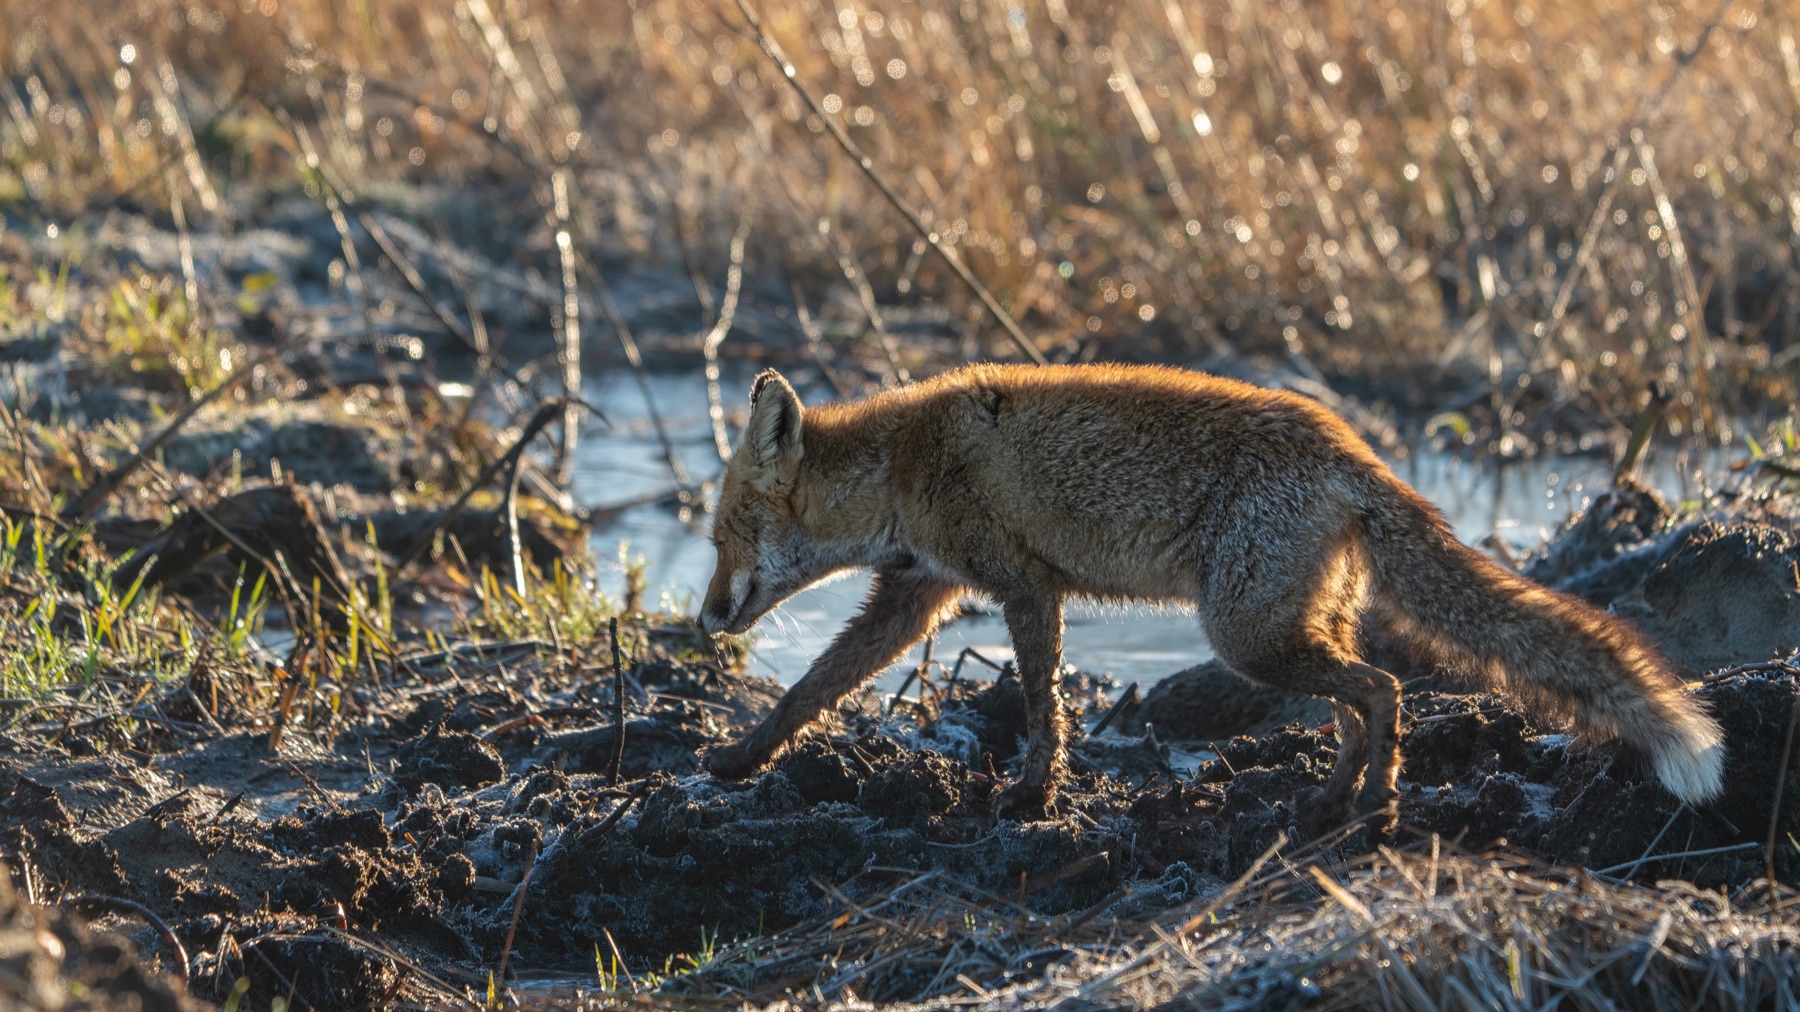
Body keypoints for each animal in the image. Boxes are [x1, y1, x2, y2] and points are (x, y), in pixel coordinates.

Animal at [696, 363, 1725, 829]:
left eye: (724, 536)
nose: (704, 618)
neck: (903, 468)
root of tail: (1353, 454)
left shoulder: (1023, 586)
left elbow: (1041, 707)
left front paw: (1032, 795)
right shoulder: (916, 594)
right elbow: (809, 691)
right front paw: (740, 759)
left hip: (1245, 636)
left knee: (1386, 690)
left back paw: (1377, 805)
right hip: (1297, 624)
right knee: (1360, 701)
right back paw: (1330, 798)